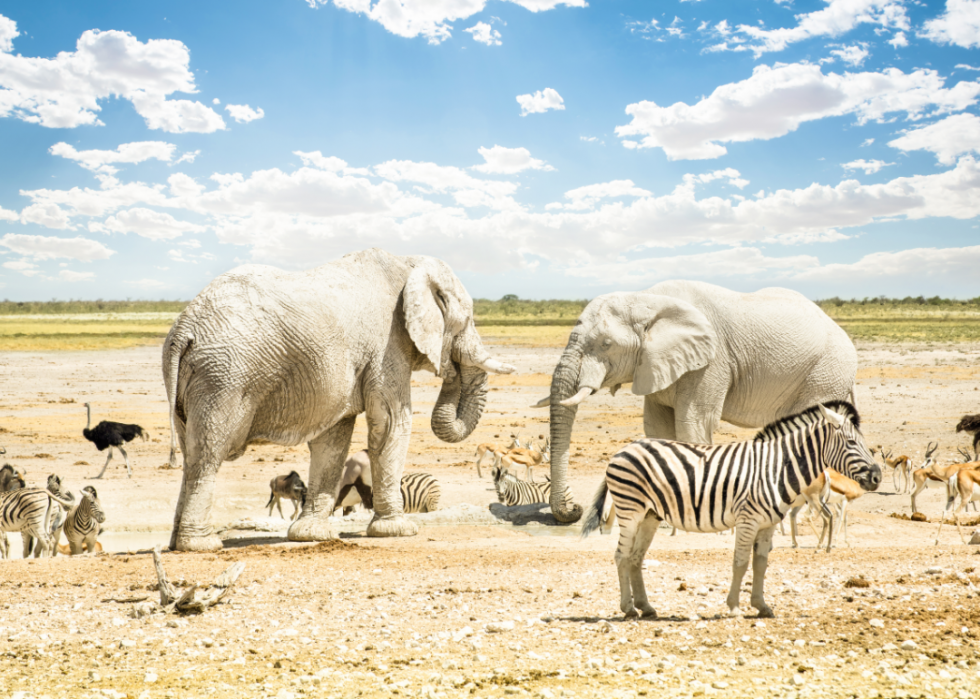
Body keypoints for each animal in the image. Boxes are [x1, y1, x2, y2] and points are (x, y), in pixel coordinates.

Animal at [163, 247, 512, 552]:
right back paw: (201, 545)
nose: (451, 368)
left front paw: (311, 536)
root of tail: (183, 329)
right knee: (209, 453)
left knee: (190, 452)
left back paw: (175, 544)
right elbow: (390, 423)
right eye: (467, 320)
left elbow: (333, 438)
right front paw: (398, 530)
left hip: (192, 379)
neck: (408, 262)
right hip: (224, 377)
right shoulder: (387, 345)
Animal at [540, 282, 852, 524]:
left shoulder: (711, 361)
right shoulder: (655, 364)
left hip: (825, 371)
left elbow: (692, 422)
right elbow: (658, 427)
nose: (574, 509)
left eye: (606, 344)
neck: (645, 299)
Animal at [580, 402, 880, 620]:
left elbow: (761, 564)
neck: (775, 468)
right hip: (630, 509)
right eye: (851, 443)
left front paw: (761, 606)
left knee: (635, 558)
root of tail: (623, 449)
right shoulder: (748, 520)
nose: (877, 476)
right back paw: (628, 608)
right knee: (621, 556)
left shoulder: (768, 523)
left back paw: (646, 607)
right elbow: (741, 562)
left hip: (650, 516)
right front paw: (734, 607)